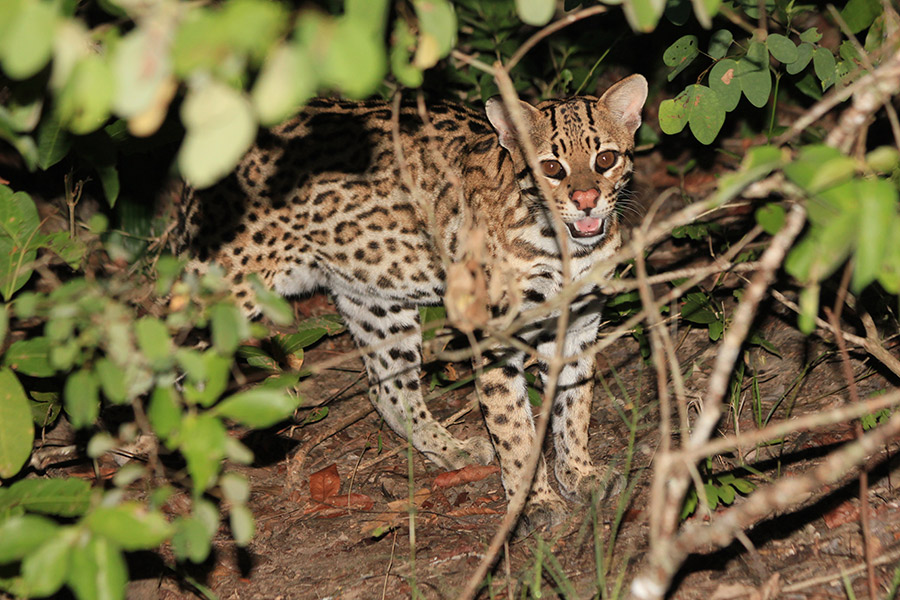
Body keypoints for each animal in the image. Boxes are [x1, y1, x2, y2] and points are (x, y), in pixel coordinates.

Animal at [179, 75, 652, 524]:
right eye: (551, 167)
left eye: (605, 159)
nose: (585, 200)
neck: (565, 249)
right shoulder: (496, 336)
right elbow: (515, 429)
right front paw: (532, 501)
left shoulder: (578, 325)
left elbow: (575, 406)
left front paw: (578, 472)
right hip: (223, 296)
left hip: (374, 299)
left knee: (387, 391)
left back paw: (452, 448)